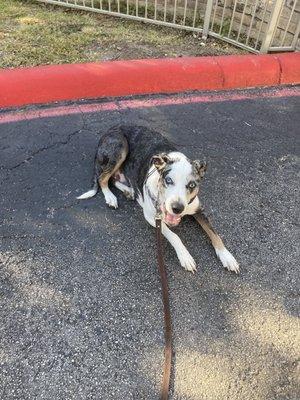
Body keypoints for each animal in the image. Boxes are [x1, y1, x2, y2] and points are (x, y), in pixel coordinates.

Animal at [77, 126, 239, 274]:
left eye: (192, 185)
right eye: (168, 180)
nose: (177, 208)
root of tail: (111, 128)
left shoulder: (199, 209)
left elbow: (214, 233)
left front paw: (227, 257)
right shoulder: (152, 217)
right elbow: (174, 236)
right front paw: (185, 256)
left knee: (113, 179)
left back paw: (129, 191)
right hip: (121, 147)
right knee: (103, 178)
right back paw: (111, 197)